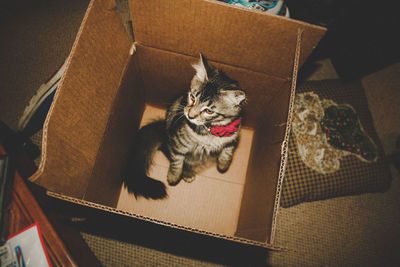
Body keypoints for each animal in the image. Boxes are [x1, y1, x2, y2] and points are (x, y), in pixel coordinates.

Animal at [123, 54, 245, 199]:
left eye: (209, 111)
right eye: (192, 97)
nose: (190, 115)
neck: (211, 130)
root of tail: (162, 129)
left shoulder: (234, 135)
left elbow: (228, 152)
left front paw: (223, 165)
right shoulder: (178, 144)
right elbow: (177, 163)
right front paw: (173, 177)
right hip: (169, 142)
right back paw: (187, 175)